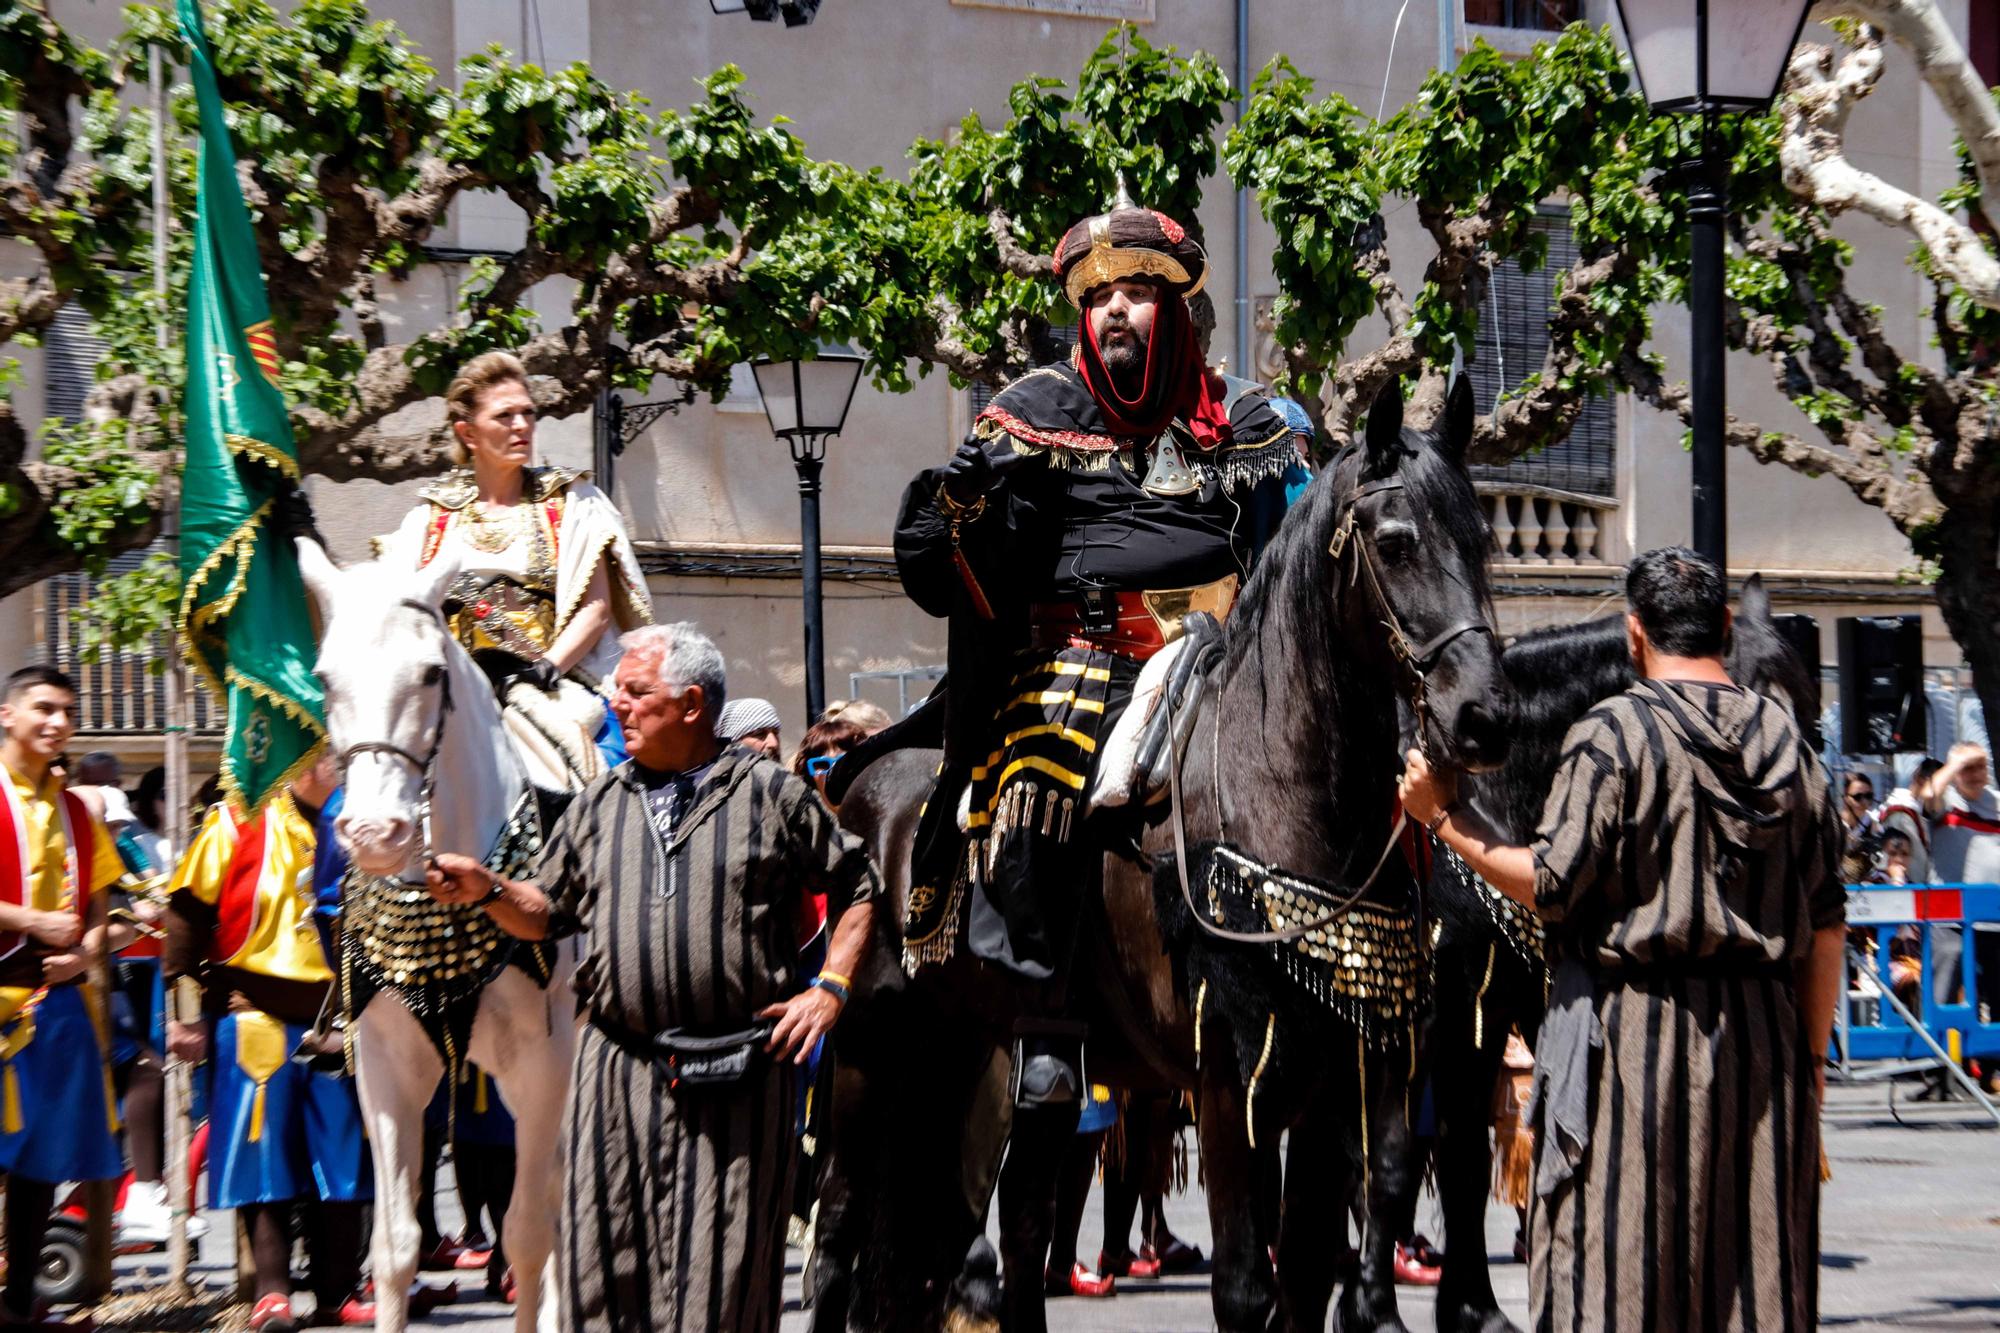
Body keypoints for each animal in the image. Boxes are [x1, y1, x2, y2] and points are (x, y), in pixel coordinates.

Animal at [300, 540, 576, 1328]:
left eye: (428, 673)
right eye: (325, 677)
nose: (375, 833)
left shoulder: (540, 1067)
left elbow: (526, 1234)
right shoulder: (386, 1068)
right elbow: (395, 1246)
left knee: (550, 1204)